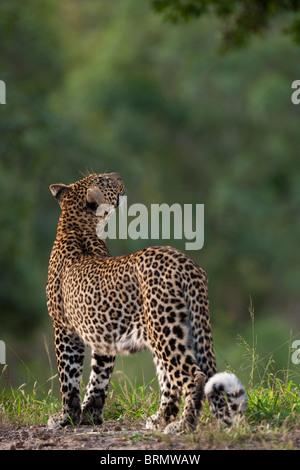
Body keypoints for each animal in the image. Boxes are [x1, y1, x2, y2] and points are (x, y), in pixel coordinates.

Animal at [45, 173, 246, 434]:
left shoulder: (64, 329)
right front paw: (90, 415)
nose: (118, 175)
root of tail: (187, 264)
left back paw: (182, 425)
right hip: (177, 329)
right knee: (180, 381)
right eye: (105, 180)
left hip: (163, 329)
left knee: (194, 377)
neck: (76, 225)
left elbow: (68, 377)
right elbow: (98, 379)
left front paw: (65, 418)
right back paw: (169, 420)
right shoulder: (103, 337)